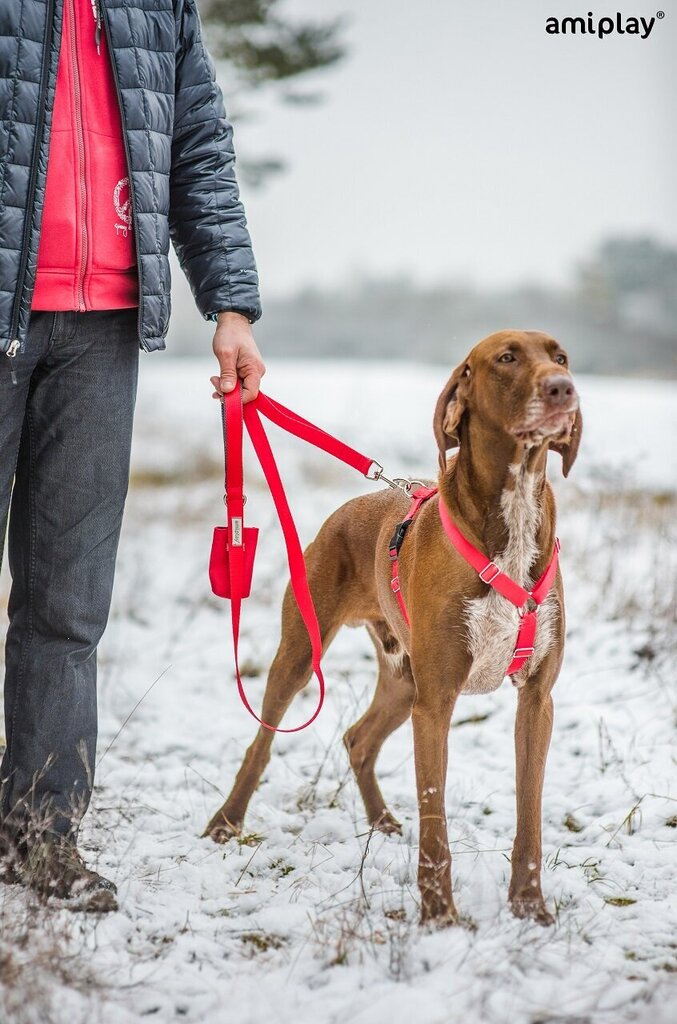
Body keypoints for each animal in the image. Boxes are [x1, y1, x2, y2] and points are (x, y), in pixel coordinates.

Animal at [204, 329, 581, 929]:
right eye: (507, 358)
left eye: (560, 356)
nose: (563, 388)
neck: (514, 509)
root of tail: (353, 504)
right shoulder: (438, 702)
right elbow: (435, 817)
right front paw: (438, 915)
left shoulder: (536, 700)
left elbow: (530, 814)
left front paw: (528, 905)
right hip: (304, 651)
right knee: (262, 741)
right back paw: (227, 821)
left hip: (404, 680)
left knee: (358, 740)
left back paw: (380, 821)